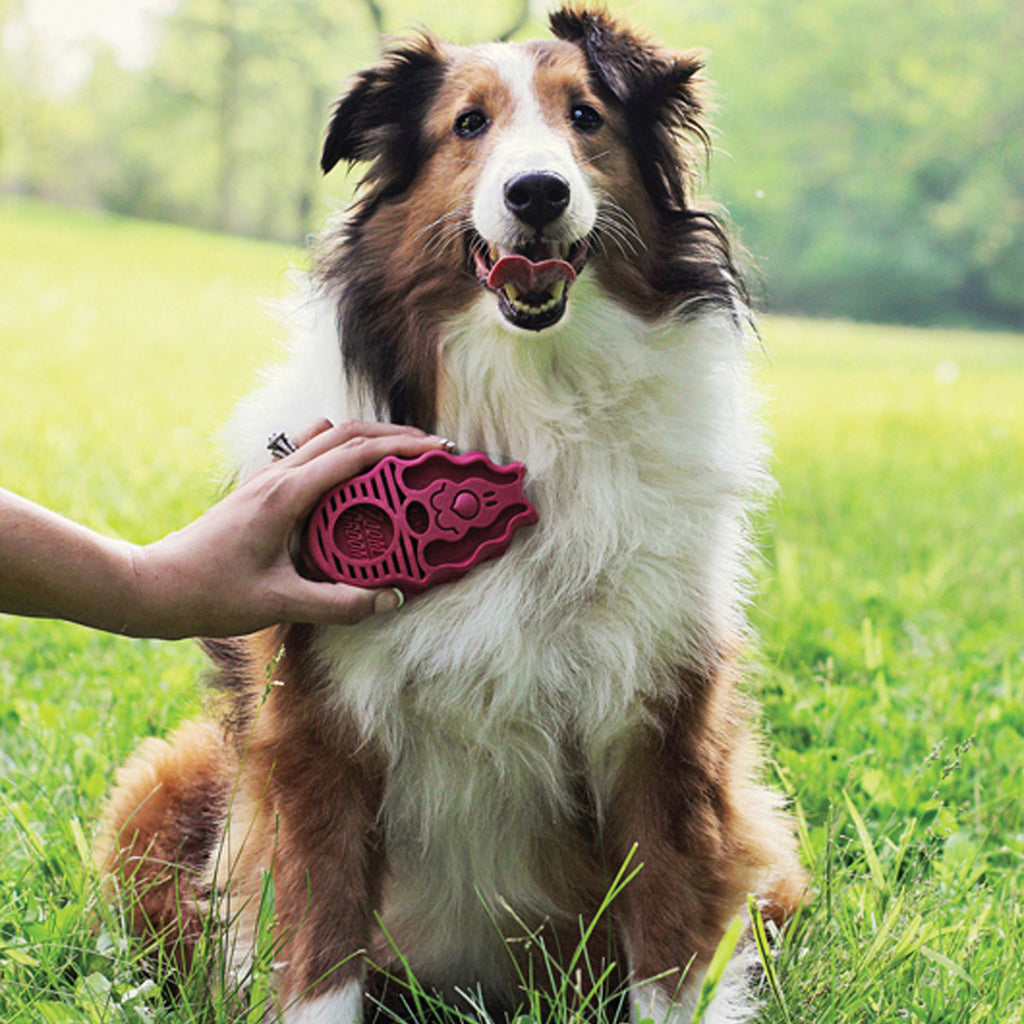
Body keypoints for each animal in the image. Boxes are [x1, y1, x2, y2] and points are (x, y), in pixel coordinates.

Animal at [97, 8, 806, 1024]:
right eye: (468, 125)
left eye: (585, 117)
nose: (538, 191)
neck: (527, 407)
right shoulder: (318, 734)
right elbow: (318, 956)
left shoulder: (663, 726)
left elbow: (672, 951)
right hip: (159, 793)